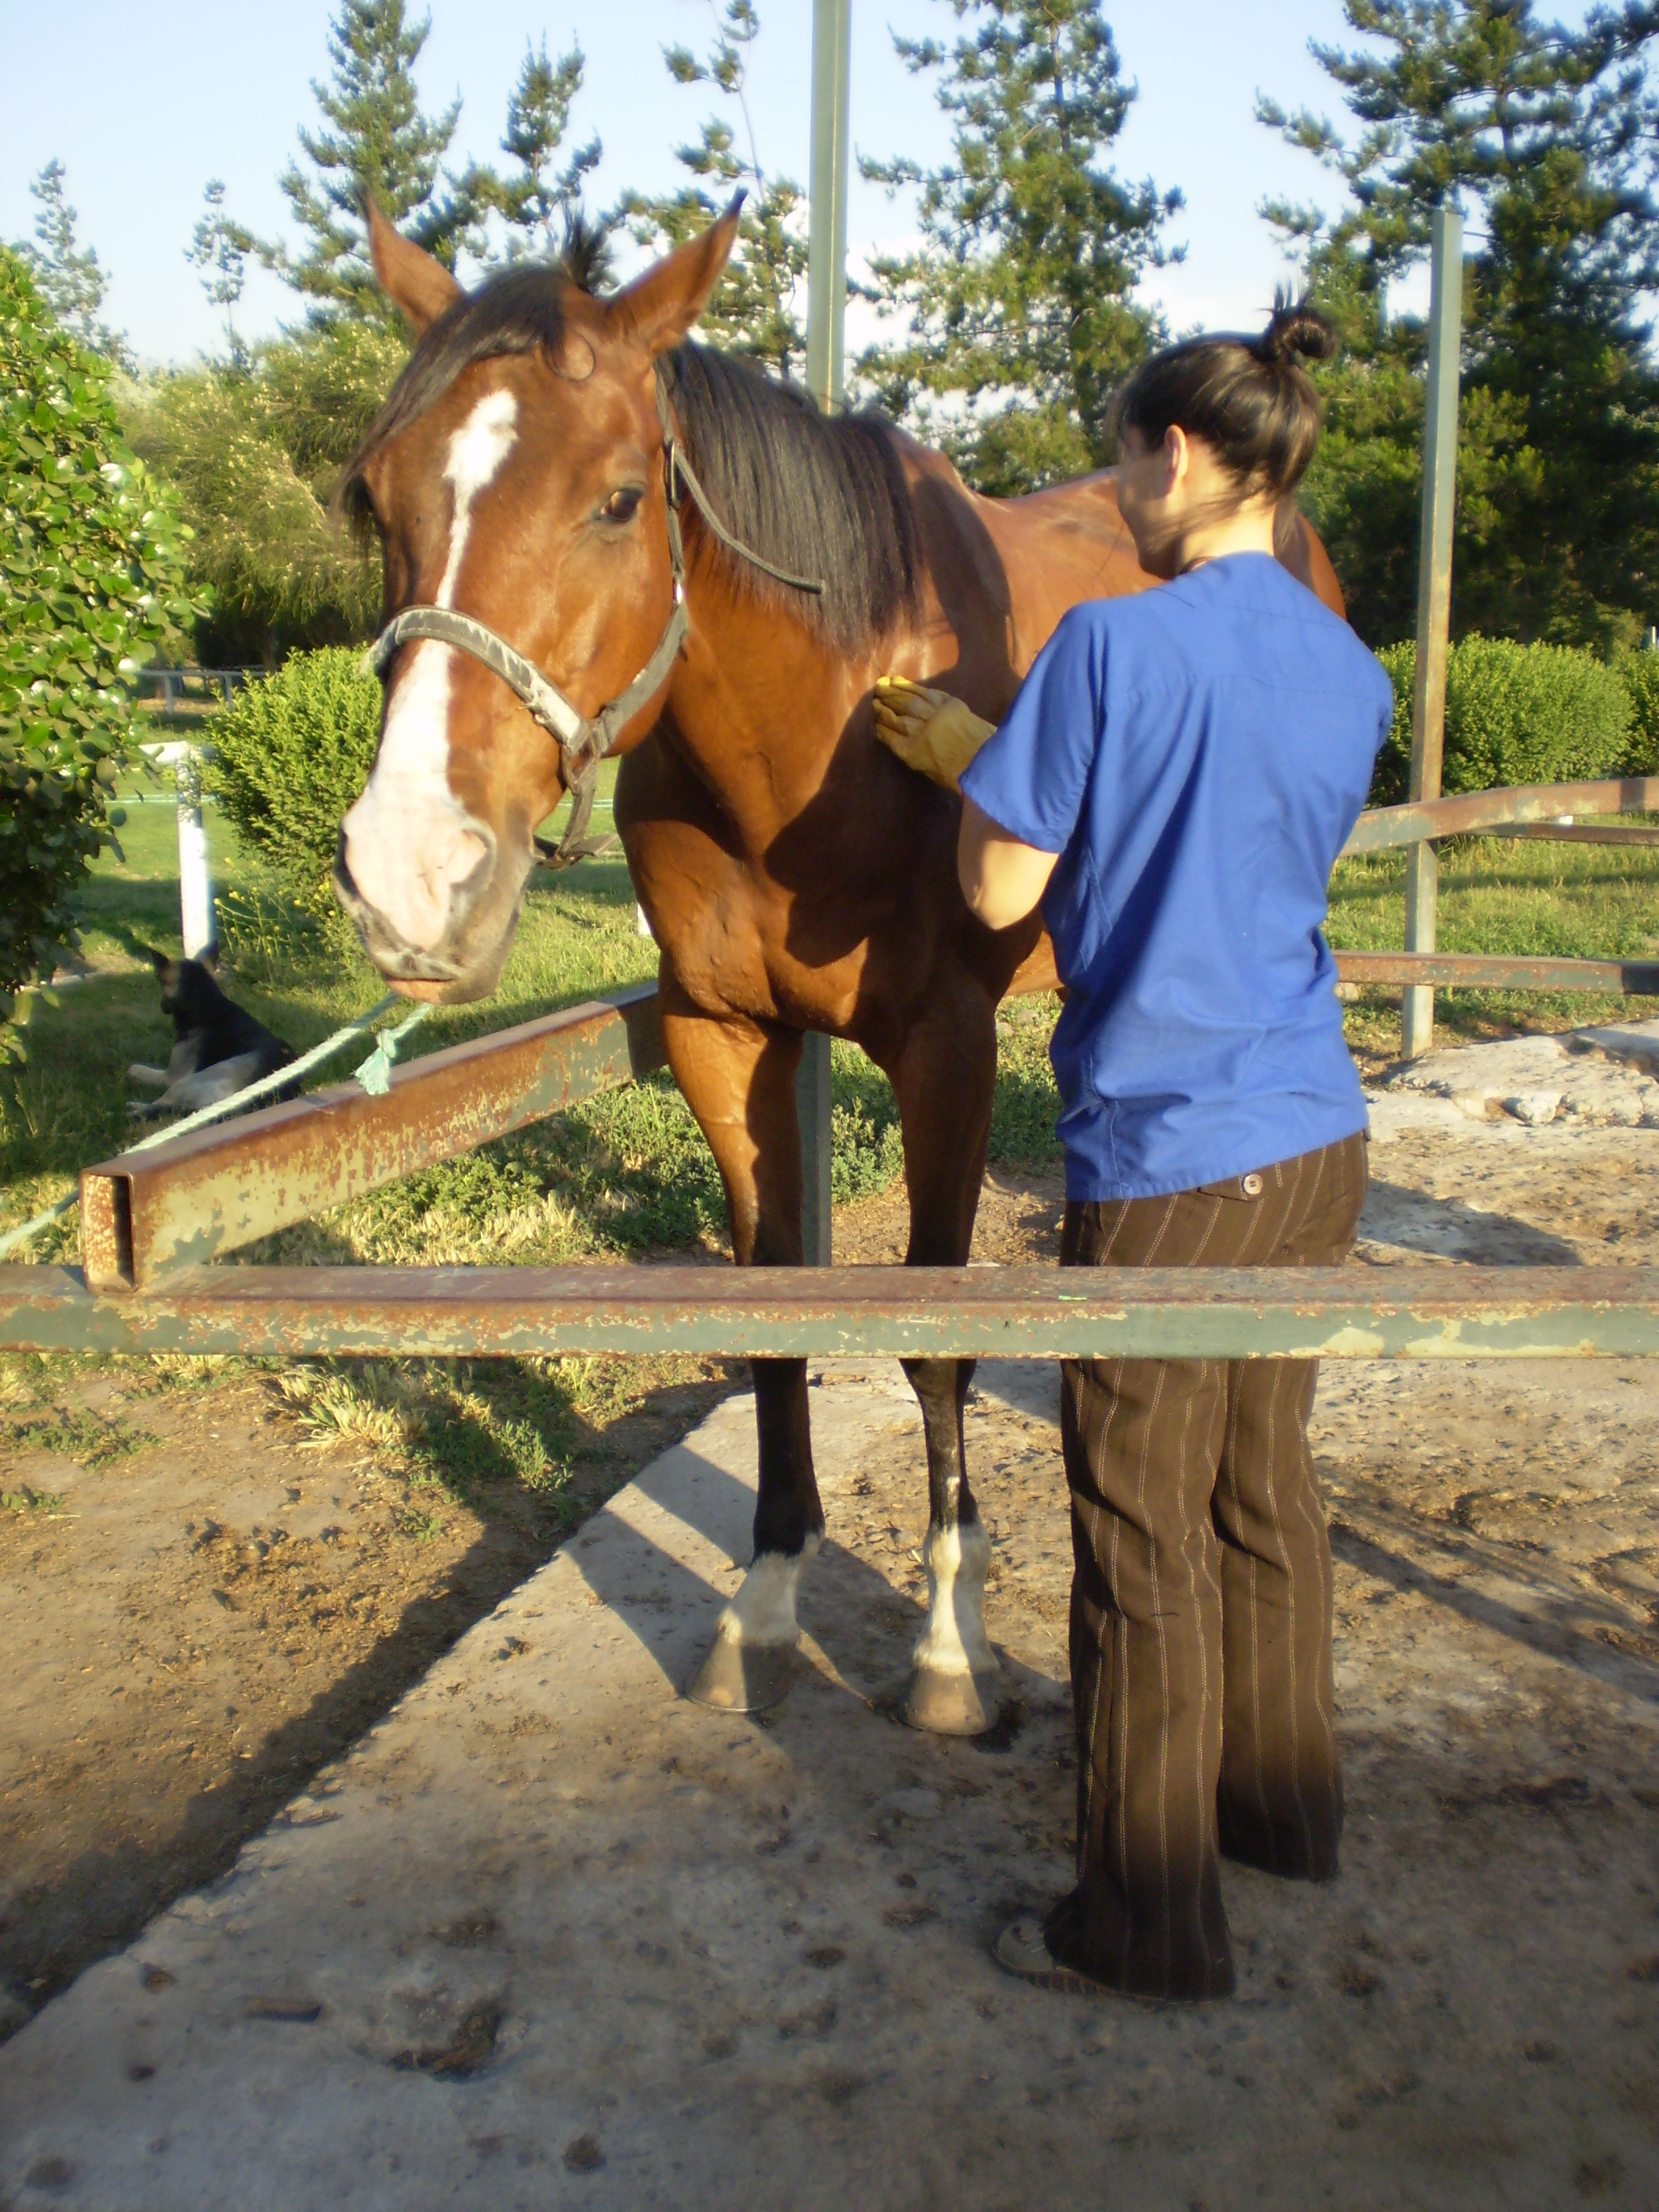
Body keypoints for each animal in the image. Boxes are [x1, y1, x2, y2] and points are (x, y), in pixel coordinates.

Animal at [334, 199, 1347, 1735]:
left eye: (618, 499)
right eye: (372, 498)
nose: (411, 877)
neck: (812, 739)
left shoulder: (945, 1047)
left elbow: (933, 1337)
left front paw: (950, 1646)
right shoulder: (722, 1034)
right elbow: (772, 1325)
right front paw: (761, 1606)